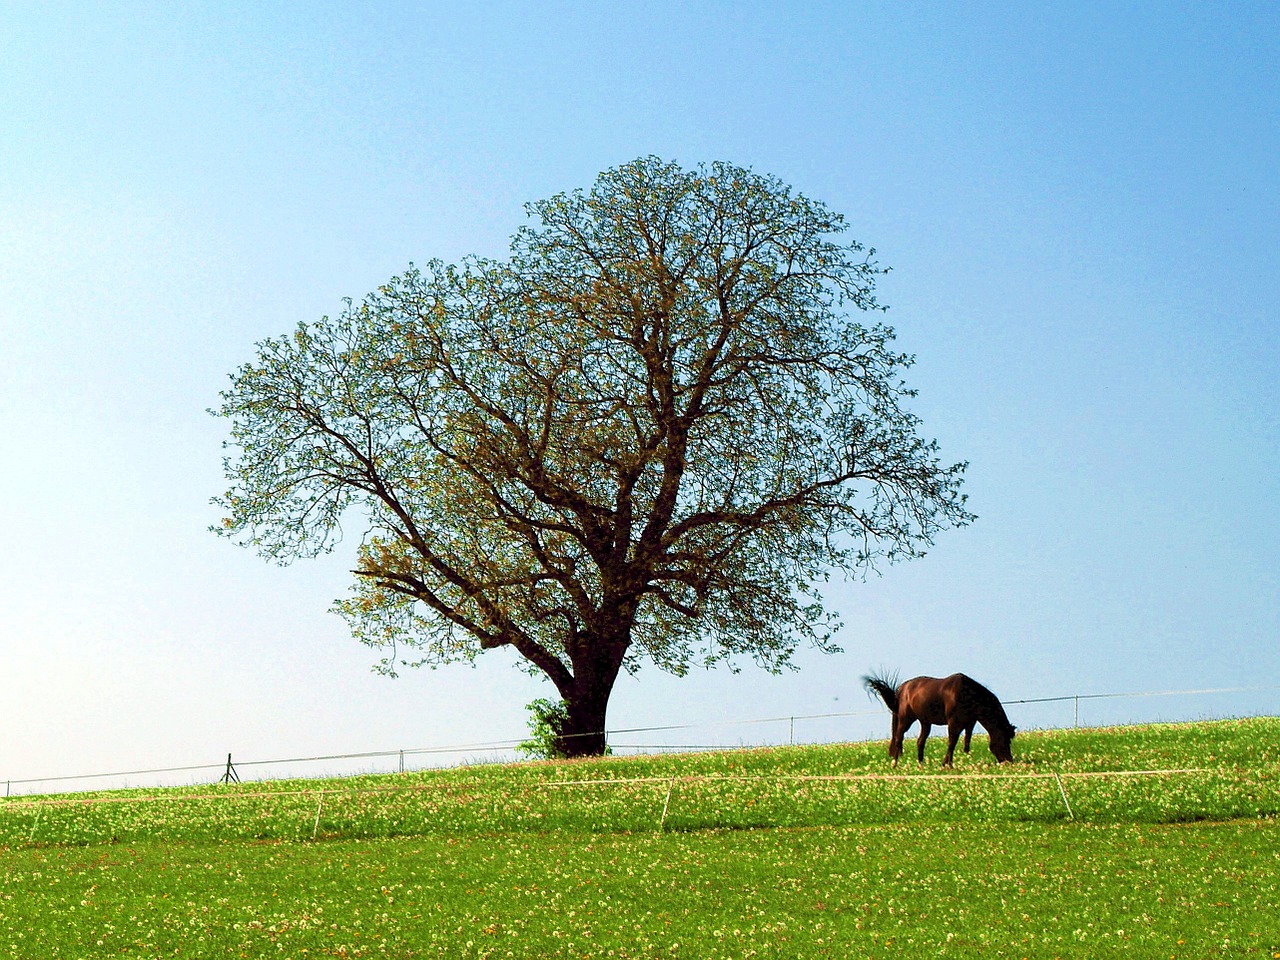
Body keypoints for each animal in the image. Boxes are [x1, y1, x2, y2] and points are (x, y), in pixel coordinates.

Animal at [860, 675, 1018, 768]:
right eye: (1005, 740)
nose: (1009, 761)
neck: (966, 693)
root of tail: (902, 688)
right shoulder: (953, 722)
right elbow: (952, 742)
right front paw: (947, 764)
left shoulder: (970, 723)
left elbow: (966, 742)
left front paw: (966, 759)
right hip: (906, 719)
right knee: (899, 739)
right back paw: (895, 764)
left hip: (925, 722)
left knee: (920, 742)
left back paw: (921, 764)